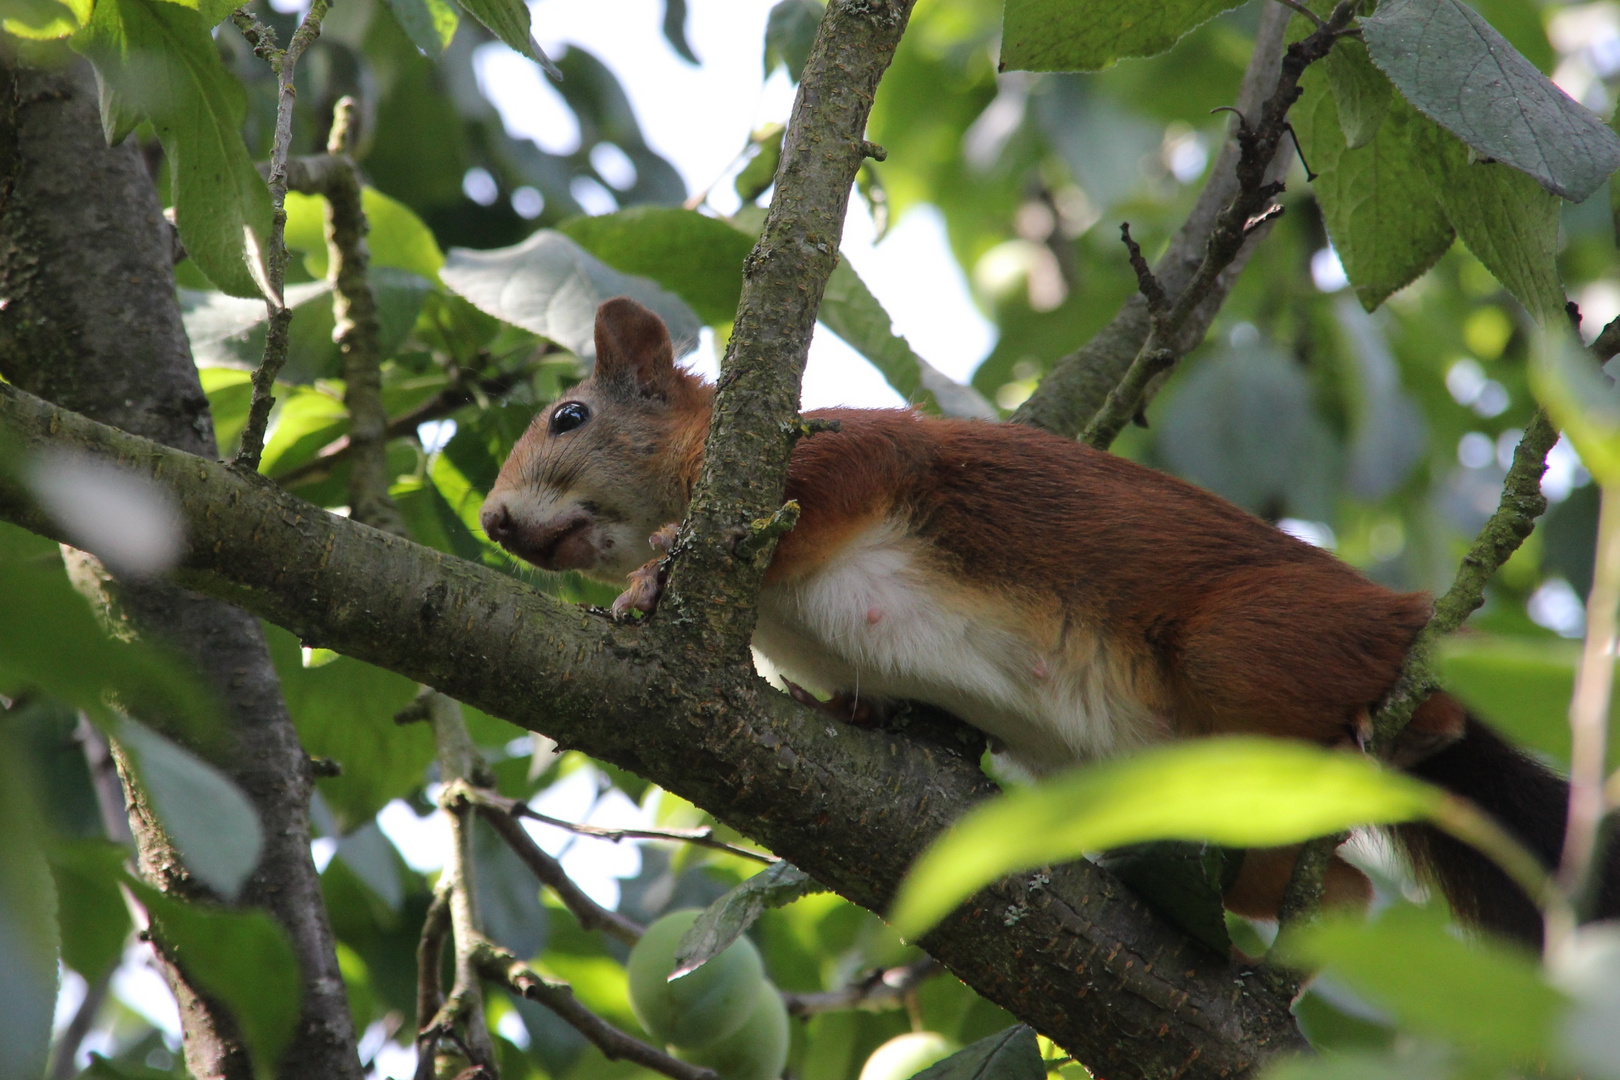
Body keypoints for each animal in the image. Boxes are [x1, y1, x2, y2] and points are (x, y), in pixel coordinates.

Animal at [479, 296, 1607, 945]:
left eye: (568, 417)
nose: (490, 519)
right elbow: (856, 702)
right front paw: (850, 714)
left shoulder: (845, 456)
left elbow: (824, 499)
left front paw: (654, 572)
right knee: (1337, 893)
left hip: (1253, 643)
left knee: (1419, 721)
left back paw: (1401, 727)